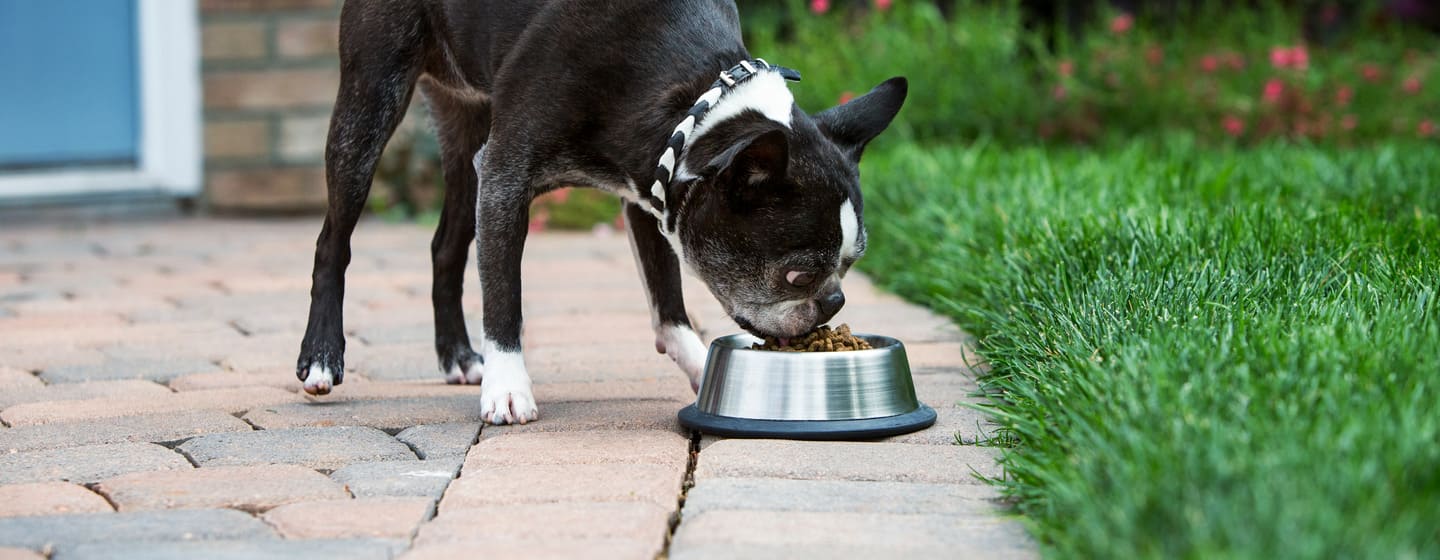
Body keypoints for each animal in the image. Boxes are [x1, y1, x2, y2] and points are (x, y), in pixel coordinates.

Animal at [296, 0, 904, 420]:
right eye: (796, 274)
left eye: (851, 264)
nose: (833, 301)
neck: (696, 98)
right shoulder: (506, 175)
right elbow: (504, 294)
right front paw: (509, 386)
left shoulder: (653, 182)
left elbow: (667, 297)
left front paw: (696, 363)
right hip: (371, 100)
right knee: (333, 239)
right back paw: (322, 356)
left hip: (468, 139)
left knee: (445, 247)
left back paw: (458, 357)